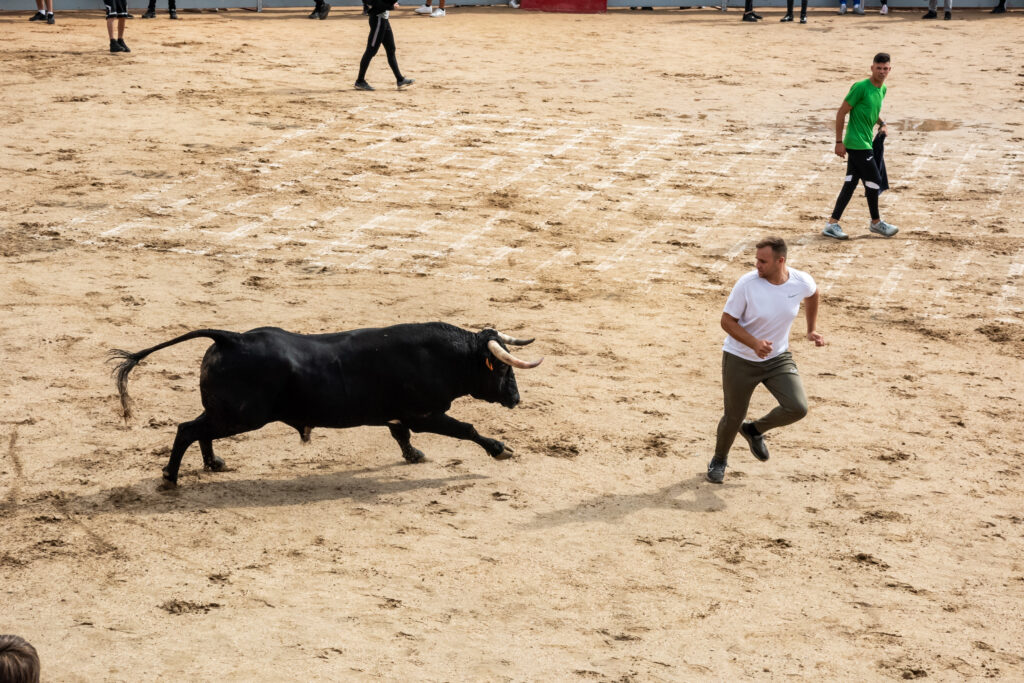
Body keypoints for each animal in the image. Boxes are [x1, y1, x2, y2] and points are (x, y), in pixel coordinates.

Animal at [110, 321, 544, 485]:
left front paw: (414, 456)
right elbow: (466, 428)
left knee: (200, 429)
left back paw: (214, 463)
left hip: (227, 413)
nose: (516, 398)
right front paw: (500, 449)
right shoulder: (425, 413)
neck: (444, 356)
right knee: (188, 429)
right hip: (240, 416)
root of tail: (231, 337)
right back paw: (170, 477)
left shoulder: (400, 415)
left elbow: (400, 435)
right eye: (502, 369)